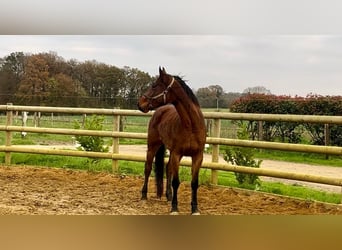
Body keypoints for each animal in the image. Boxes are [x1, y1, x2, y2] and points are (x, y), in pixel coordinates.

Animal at [137, 67, 206, 215]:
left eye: (154, 85)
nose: (140, 103)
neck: (191, 126)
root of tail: (160, 110)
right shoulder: (177, 154)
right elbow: (176, 181)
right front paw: (174, 208)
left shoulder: (198, 156)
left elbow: (194, 183)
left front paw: (194, 208)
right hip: (152, 146)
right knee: (148, 168)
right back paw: (144, 195)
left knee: (168, 168)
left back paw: (168, 195)